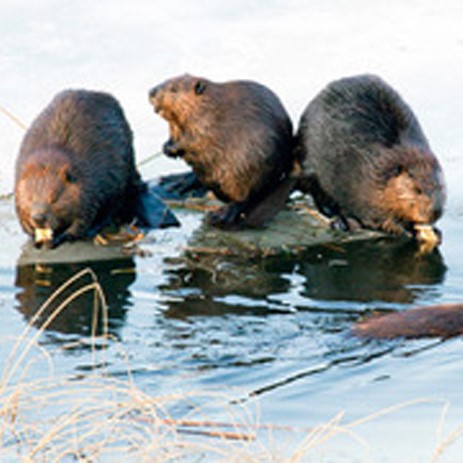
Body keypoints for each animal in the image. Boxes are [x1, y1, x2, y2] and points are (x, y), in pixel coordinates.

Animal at [15, 91, 179, 250]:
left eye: (54, 199)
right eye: (30, 199)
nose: (38, 218)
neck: (52, 153)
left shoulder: (88, 183)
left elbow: (84, 216)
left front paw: (61, 237)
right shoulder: (19, 178)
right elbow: (19, 210)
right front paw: (33, 234)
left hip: (121, 175)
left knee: (112, 208)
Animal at [148, 74, 294, 230]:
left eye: (174, 89)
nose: (151, 92)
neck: (209, 105)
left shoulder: (206, 123)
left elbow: (195, 139)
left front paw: (172, 149)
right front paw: (166, 147)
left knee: (247, 198)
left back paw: (220, 215)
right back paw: (175, 183)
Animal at [296, 73, 448, 246]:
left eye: (441, 187)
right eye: (417, 189)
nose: (436, 211)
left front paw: (435, 230)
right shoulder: (367, 186)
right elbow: (378, 216)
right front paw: (406, 229)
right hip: (311, 167)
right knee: (320, 197)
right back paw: (341, 221)